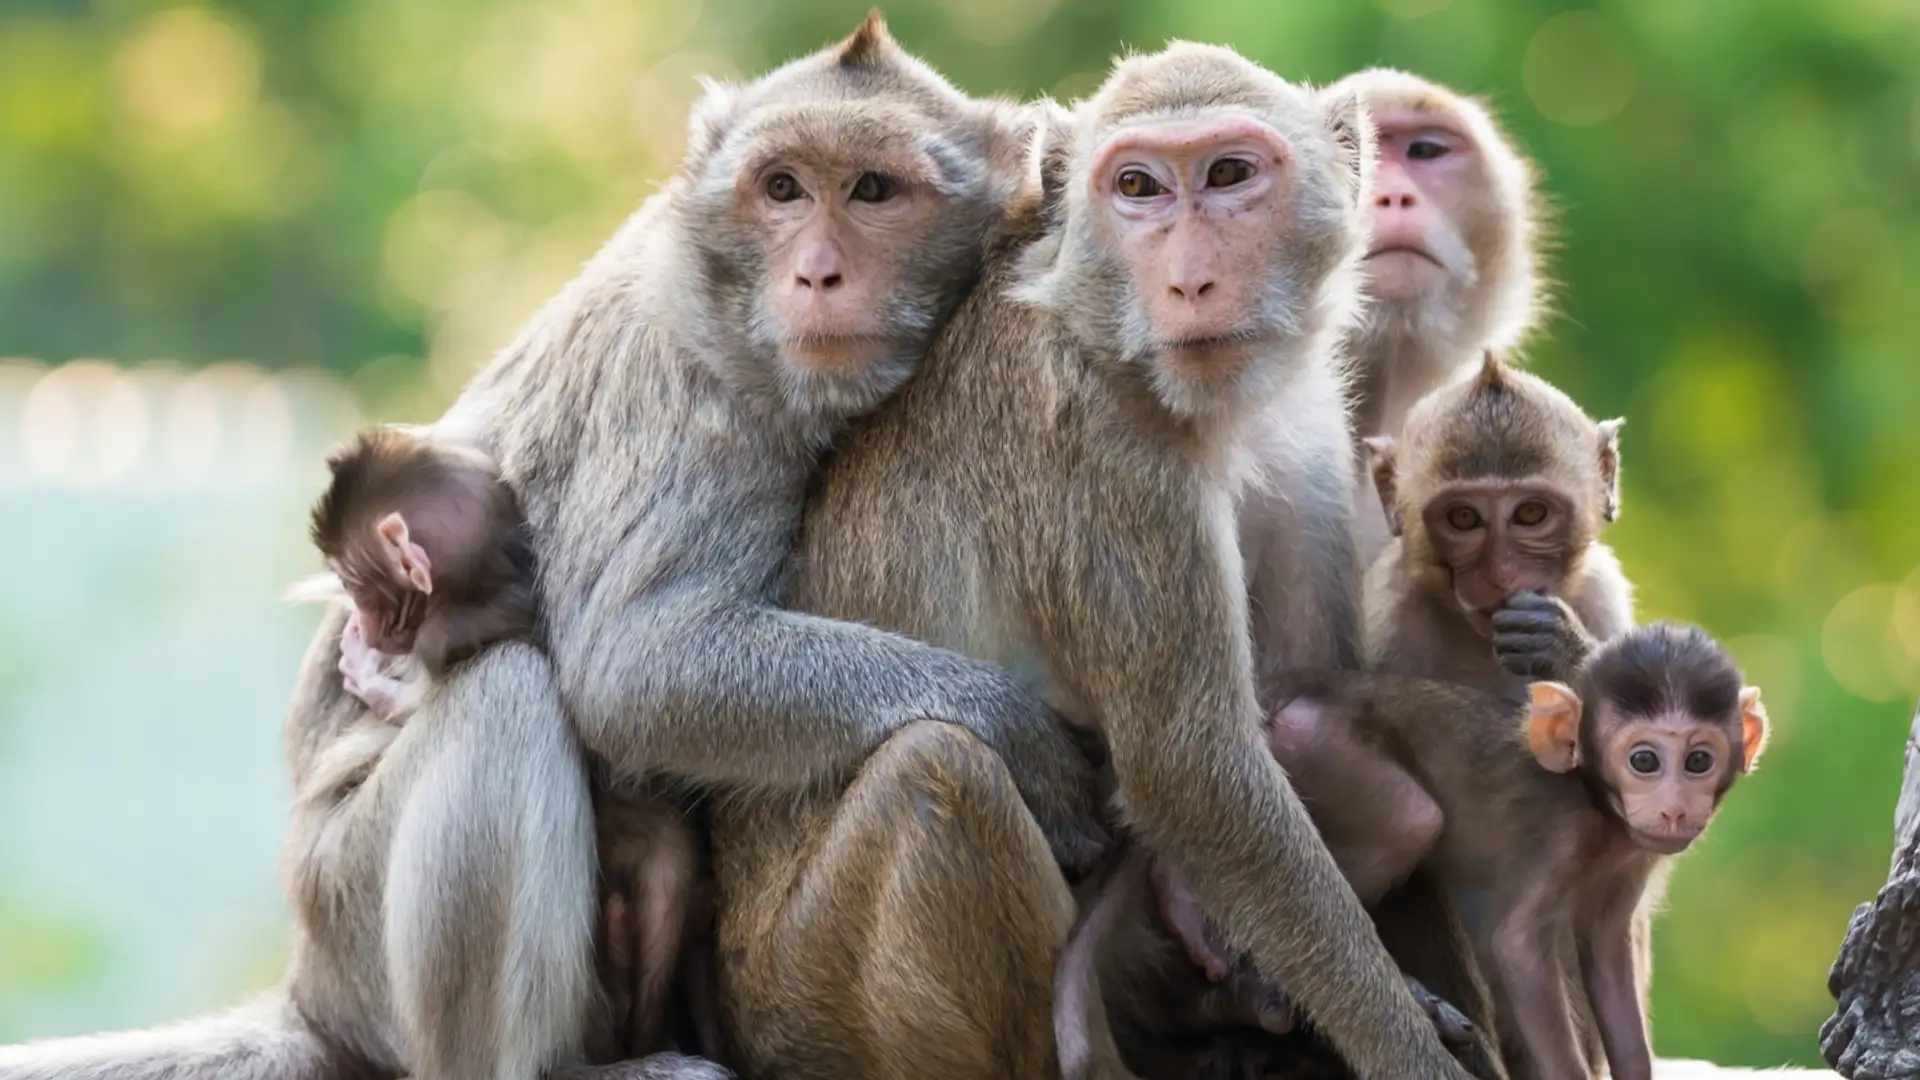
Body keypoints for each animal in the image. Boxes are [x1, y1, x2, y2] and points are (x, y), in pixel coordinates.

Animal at [0, 16, 1078, 1080]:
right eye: (782, 188)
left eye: (873, 190)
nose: (817, 271)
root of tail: (310, 988)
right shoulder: (691, 392)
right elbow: (635, 666)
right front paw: (1023, 734)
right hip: (352, 918)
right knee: (505, 699)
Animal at [706, 41, 1483, 1080]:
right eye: (1138, 187)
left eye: (1229, 175)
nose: (1189, 281)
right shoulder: (1100, 450)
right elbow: (1195, 773)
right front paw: (1404, 1046)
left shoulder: (1312, 424)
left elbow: (1311, 697)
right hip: (808, 1000)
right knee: (939, 775)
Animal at [1260, 622, 1770, 1080]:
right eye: (1644, 760)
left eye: (1698, 761)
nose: (1675, 809)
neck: (1596, 804)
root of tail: (1297, 687)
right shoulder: (1562, 837)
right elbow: (1519, 948)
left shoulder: (1635, 855)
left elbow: (1606, 952)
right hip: (1316, 741)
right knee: (1410, 819)